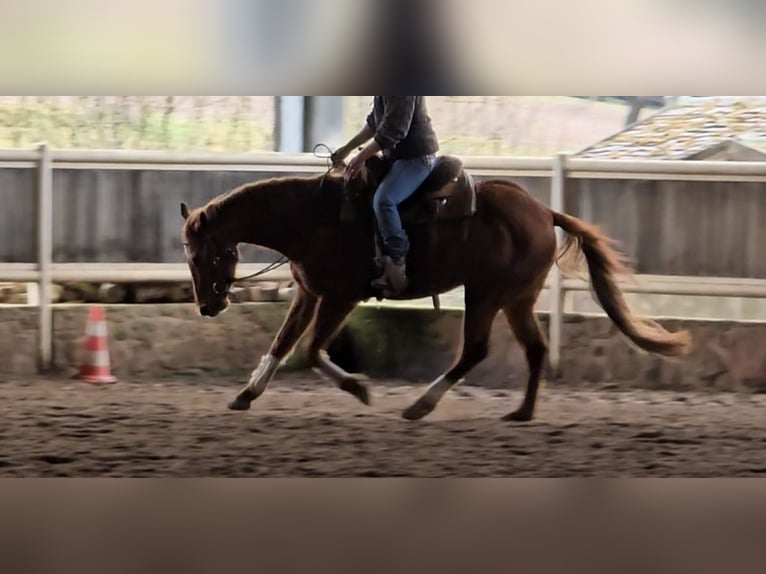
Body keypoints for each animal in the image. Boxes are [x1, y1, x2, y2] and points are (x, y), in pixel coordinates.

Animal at [180, 157, 691, 422]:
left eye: (203, 255)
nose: (207, 306)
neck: (312, 218)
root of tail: (544, 211)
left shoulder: (341, 296)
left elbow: (310, 350)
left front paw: (359, 389)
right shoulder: (309, 293)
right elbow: (282, 344)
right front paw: (245, 395)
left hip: (485, 294)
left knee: (476, 350)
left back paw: (420, 405)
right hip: (516, 298)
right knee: (535, 348)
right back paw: (521, 413)